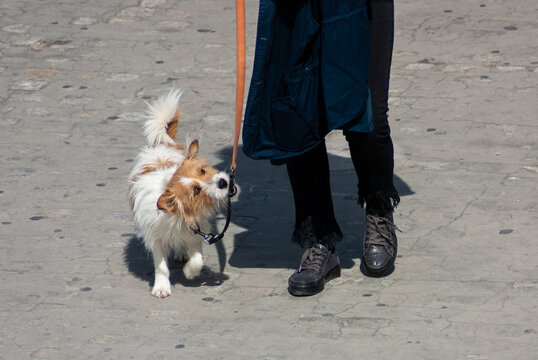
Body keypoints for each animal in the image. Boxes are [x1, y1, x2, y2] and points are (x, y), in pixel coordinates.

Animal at [130, 90, 232, 298]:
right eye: (196, 191)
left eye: (202, 170)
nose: (223, 182)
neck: (178, 217)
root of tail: (162, 144)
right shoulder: (156, 237)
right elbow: (161, 266)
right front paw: (161, 286)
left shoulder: (196, 231)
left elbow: (198, 258)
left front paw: (190, 272)